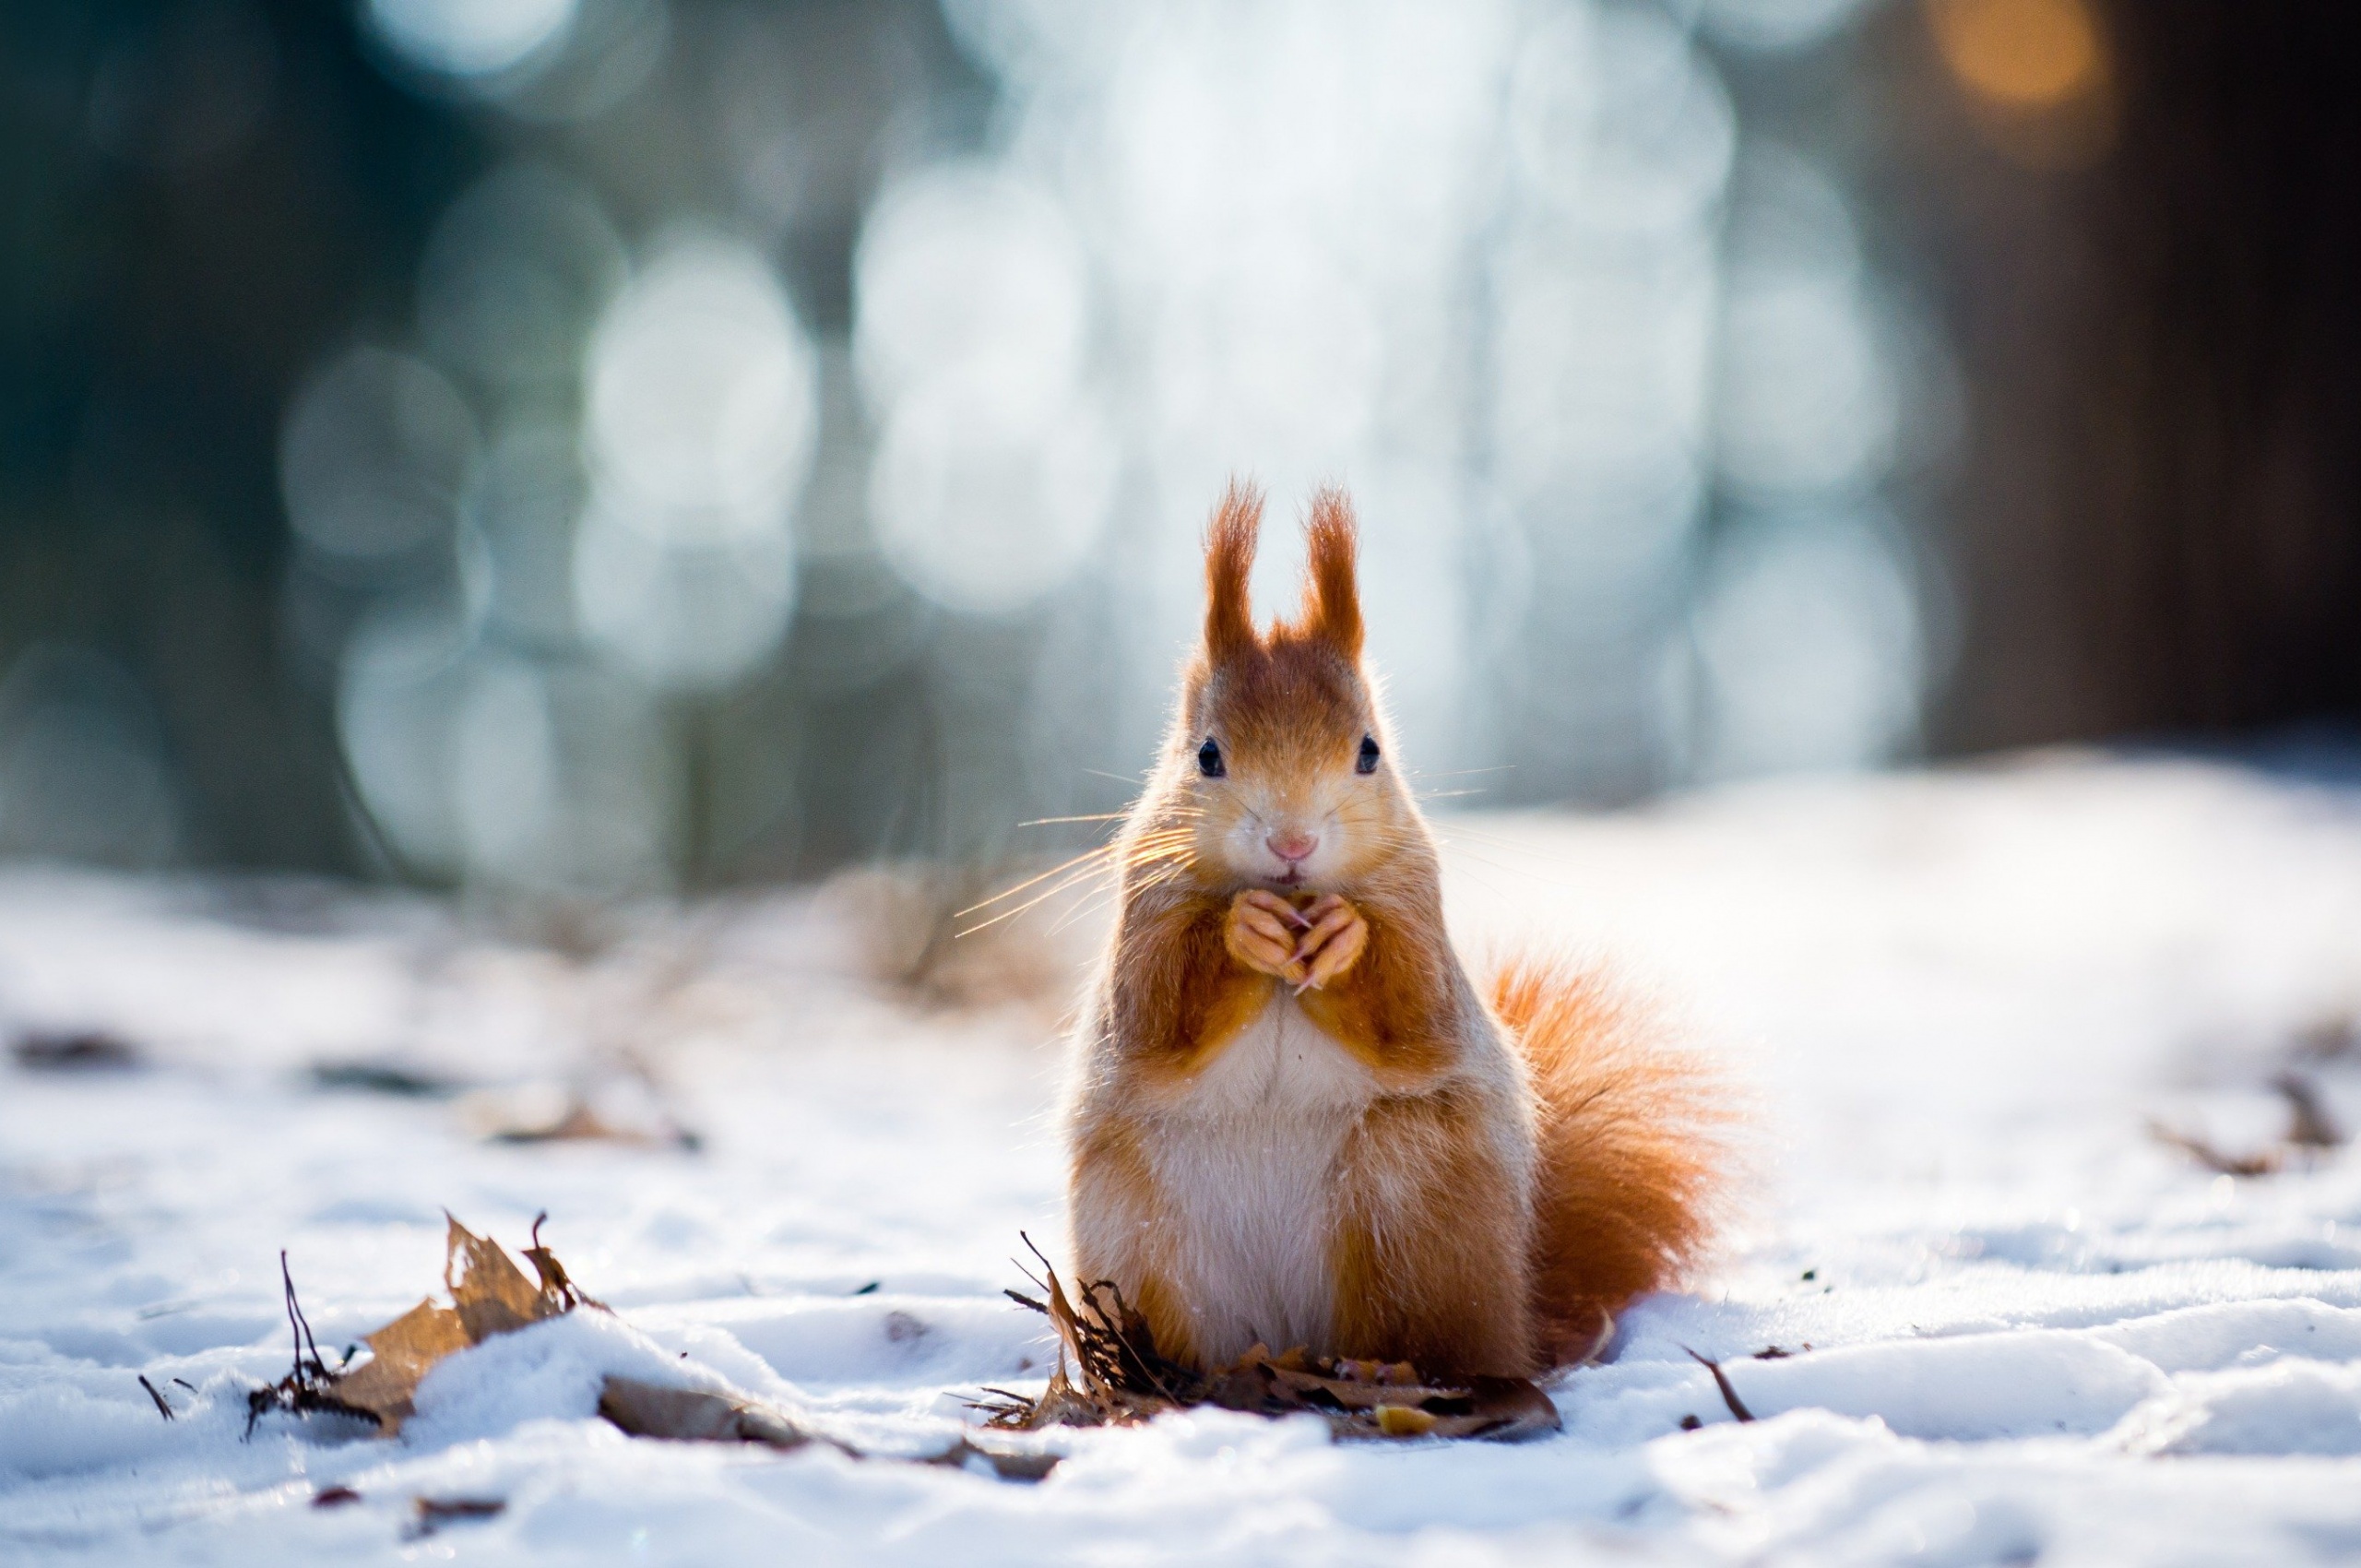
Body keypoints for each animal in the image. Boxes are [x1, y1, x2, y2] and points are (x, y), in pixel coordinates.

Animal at [1067, 483, 1718, 1379]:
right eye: (1206, 756)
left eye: (1370, 751)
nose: (1293, 845)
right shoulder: (1144, 914)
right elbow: (1159, 1013)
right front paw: (1244, 929)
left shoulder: (1420, 912)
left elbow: (1411, 1008)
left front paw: (1347, 939)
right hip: (1140, 1236)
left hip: (1410, 1200)